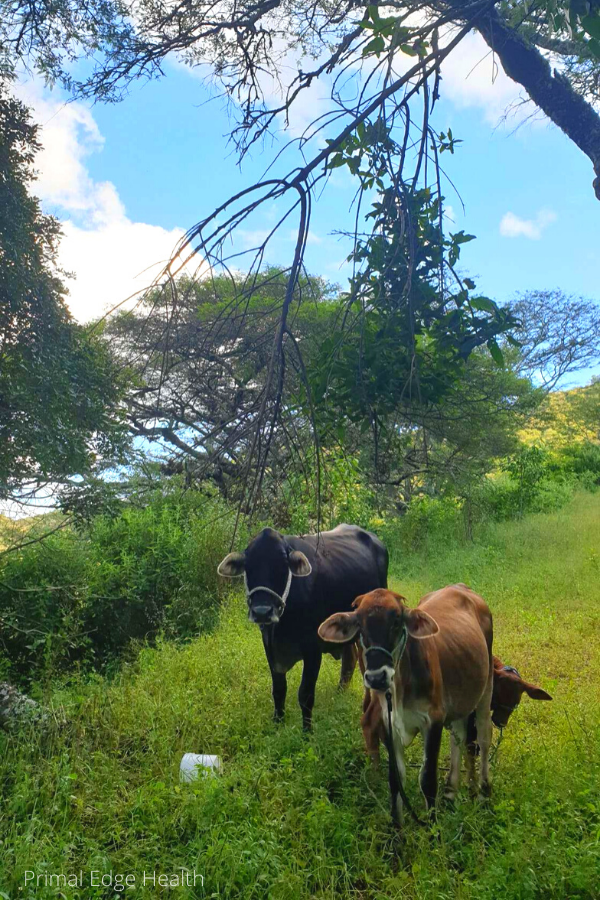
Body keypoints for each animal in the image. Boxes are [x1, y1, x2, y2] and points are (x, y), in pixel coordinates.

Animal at [218, 524, 386, 728]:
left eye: (282, 566)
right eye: (248, 566)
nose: (262, 611)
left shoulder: (313, 649)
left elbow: (305, 694)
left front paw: (307, 730)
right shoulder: (269, 647)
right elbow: (279, 689)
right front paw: (278, 722)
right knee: (350, 657)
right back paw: (340, 692)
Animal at [318, 584, 492, 824]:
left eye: (396, 621)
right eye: (360, 626)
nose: (376, 677)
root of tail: (461, 588)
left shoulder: (433, 720)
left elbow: (427, 780)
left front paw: (432, 829)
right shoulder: (388, 722)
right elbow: (395, 780)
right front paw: (396, 831)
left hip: (486, 687)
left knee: (483, 737)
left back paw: (483, 792)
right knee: (458, 734)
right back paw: (450, 791)